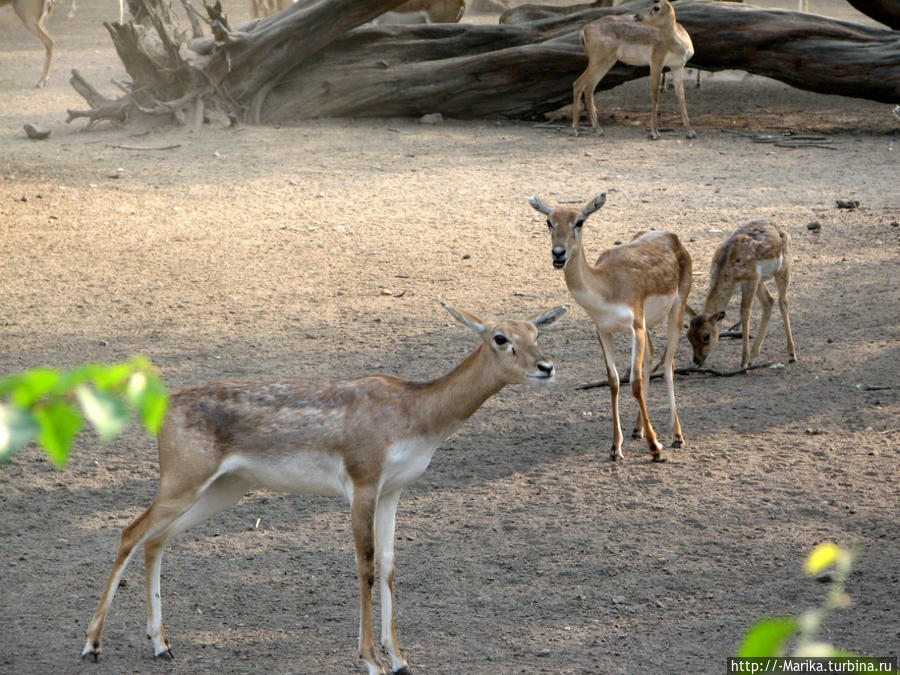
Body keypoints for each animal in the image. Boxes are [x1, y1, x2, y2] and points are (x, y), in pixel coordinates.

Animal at [81, 304, 568, 675]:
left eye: (536, 331)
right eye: (500, 337)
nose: (546, 366)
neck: (414, 414)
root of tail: (162, 407)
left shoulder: (394, 490)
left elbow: (389, 565)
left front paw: (401, 660)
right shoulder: (362, 482)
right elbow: (365, 565)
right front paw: (371, 661)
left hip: (223, 487)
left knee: (157, 539)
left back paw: (161, 644)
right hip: (182, 478)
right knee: (130, 531)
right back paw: (92, 646)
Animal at [532, 193, 692, 462]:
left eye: (580, 221)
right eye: (549, 222)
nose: (558, 254)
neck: (606, 287)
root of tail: (673, 237)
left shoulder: (635, 326)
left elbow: (634, 382)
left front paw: (655, 448)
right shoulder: (604, 331)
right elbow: (614, 381)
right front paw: (616, 448)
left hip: (677, 308)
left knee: (668, 361)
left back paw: (677, 436)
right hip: (648, 325)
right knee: (652, 356)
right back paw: (638, 430)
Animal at [568, 0, 696, 140]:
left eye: (656, 7)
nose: (636, 16)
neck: (680, 44)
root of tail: (584, 30)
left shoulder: (677, 67)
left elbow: (681, 97)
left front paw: (690, 132)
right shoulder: (656, 63)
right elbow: (655, 95)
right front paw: (654, 133)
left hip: (606, 63)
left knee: (589, 88)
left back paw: (598, 129)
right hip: (599, 62)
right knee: (578, 83)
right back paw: (576, 129)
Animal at [684, 222, 800, 370]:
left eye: (706, 336)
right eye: (688, 335)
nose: (697, 360)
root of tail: (782, 229)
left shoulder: (750, 279)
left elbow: (744, 313)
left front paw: (743, 361)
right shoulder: (754, 280)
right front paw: (747, 360)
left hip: (783, 268)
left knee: (783, 302)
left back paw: (791, 355)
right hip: (761, 280)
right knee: (769, 301)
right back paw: (754, 356)